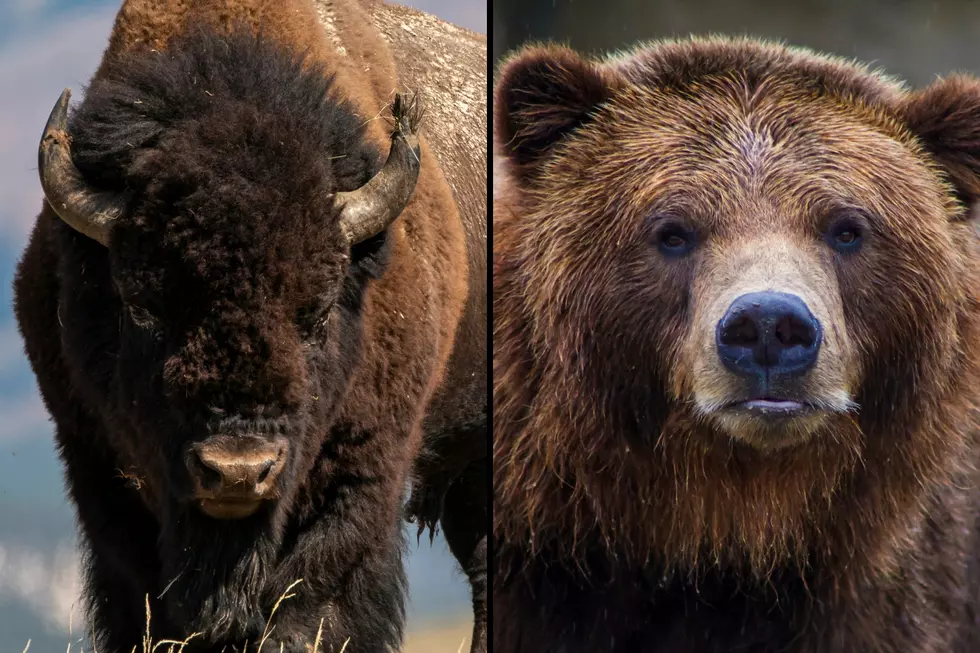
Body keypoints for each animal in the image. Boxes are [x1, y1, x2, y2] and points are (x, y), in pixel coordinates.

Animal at [13, 1, 486, 651]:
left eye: (318, 309)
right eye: (141, 304)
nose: (238, 471)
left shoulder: (363, 473)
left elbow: (310, 604)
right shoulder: (96, 464)